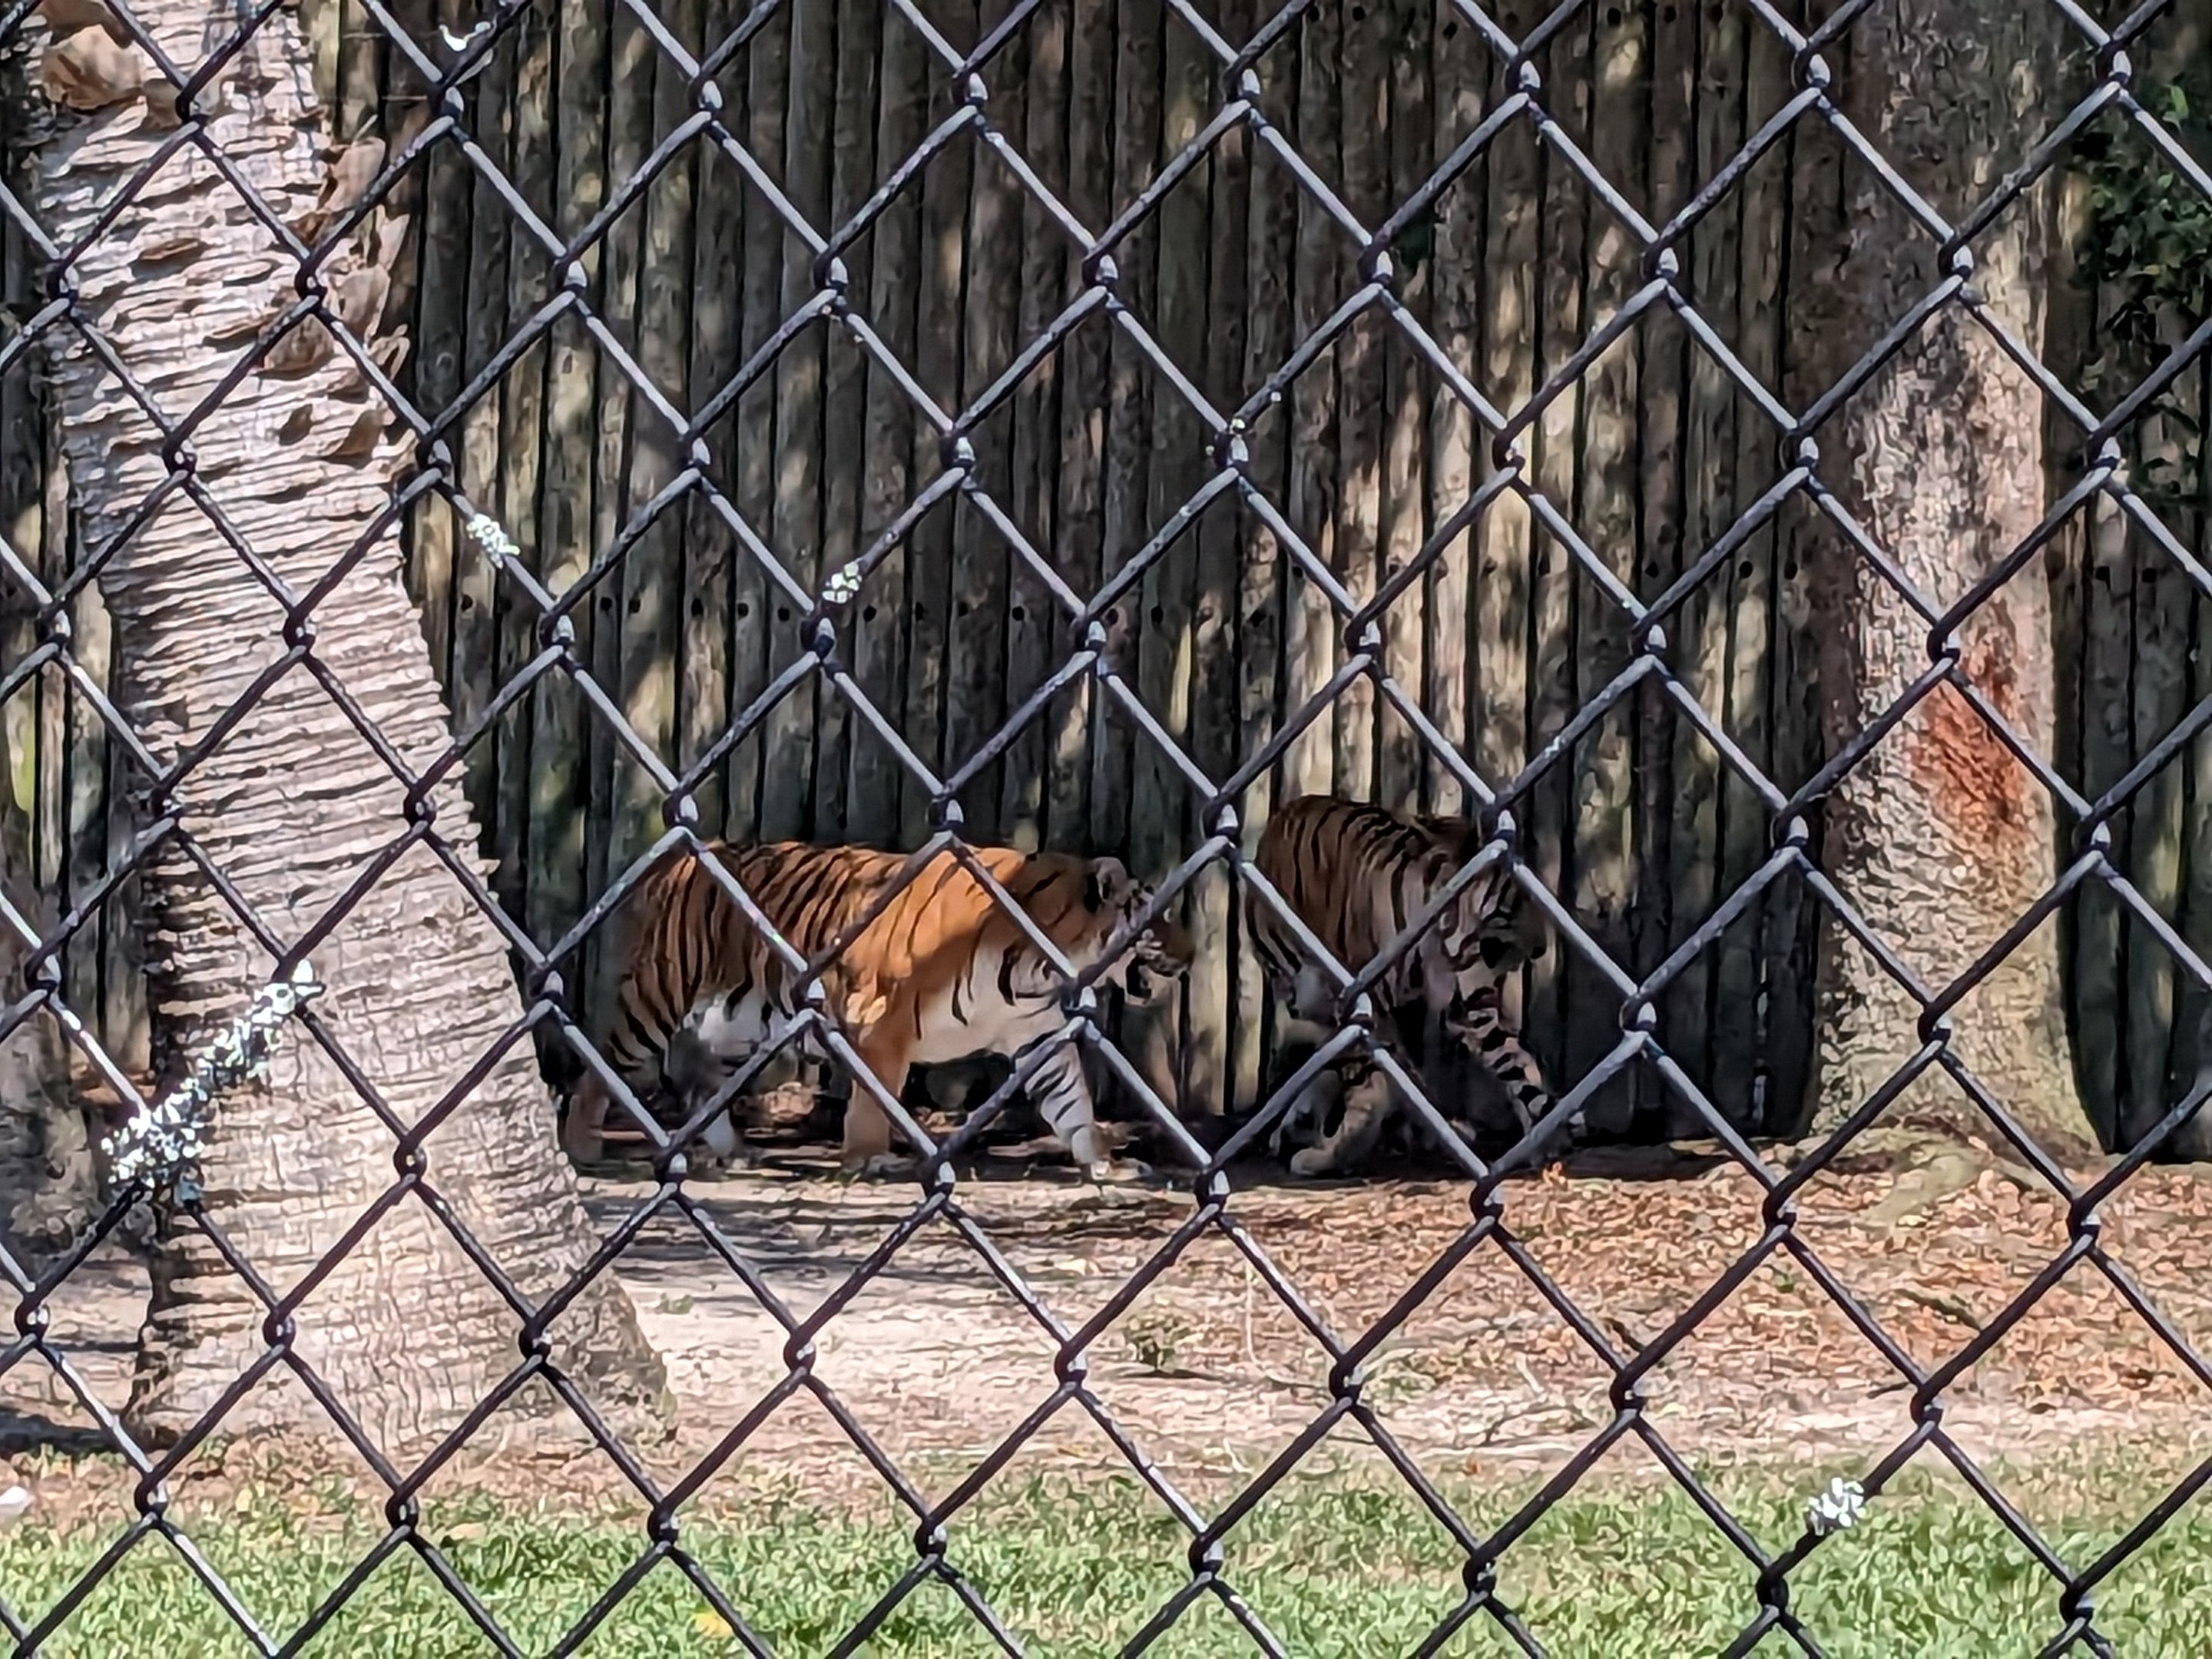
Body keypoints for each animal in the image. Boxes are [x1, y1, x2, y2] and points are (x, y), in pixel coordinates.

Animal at [559, 839, 1195, 1180]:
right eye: (1158, 917)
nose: (1192, 955)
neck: (1045, 964)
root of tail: (682, 859)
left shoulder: (1036, 1037)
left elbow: (1073, 1105)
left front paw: (1104, 1162)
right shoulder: (883, 1018)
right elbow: (874, 1097)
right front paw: (868, 1160)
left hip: (742, 1018)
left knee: (700, 1078)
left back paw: (733, 1152)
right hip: (659, 996)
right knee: (602, 1064)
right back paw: (581, 1145)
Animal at [1246, 793, 1576, 1177]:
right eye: (1520, 903)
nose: (1541, 948)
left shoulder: (1465, 1005)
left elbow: (1516, 1058)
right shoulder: (1359, 1004)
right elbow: (1373, 1085)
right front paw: (1333, 1154)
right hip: (1307, 992)